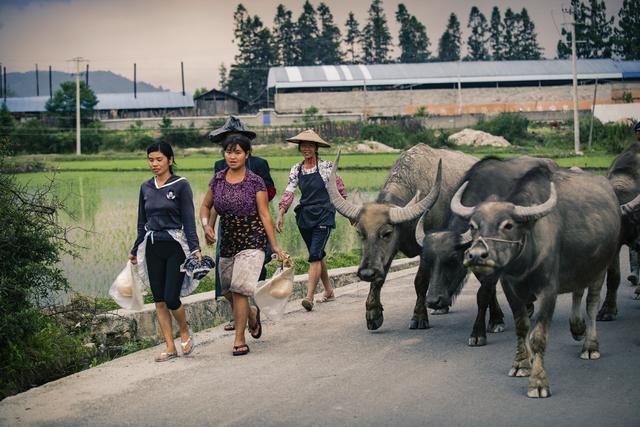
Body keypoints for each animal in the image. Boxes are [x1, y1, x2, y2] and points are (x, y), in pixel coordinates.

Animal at [330, 145, 476, 332]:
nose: (366, 273)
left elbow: (420, 281)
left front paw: (419, 317)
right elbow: (380, 277)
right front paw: (373, 314)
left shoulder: (425, 248)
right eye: (360, 233)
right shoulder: (388, 252)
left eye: (386, 233)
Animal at [412, 157, 552, 348]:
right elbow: (490, 291)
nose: (433, 301)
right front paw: (496, 320)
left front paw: (478, 333)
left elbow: (483, 294)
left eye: (453, 260)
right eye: (427, 260)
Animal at [450, 166, 620, 398]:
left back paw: (590, 346)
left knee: (592, 304)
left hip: (599, 268)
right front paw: (521, 364)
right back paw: (577, 328)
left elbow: (538, 336)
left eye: (508, 225)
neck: (525, 259)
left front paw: (538, 382)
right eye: (473, 225)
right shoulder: (510, 288)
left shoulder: (548, 291)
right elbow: (522, 327)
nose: (476, 255)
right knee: (577, 291)